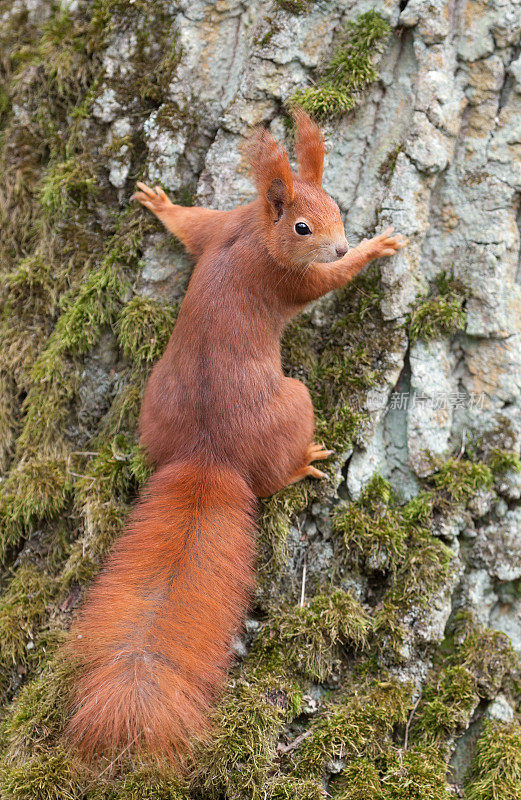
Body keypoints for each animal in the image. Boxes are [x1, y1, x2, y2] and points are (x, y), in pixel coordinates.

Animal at [66, 109, 406, 760]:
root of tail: (208, 453)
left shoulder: (222, 224)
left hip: (157, 406)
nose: (341, 241)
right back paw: (303, 462)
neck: (255, 235)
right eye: (303, 226)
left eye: (336, 204)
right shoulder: (289, 279)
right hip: (294, 403)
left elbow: (190, 227)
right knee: (272, 479)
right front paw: (373, 249)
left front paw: (159, 202)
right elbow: (329, 281)